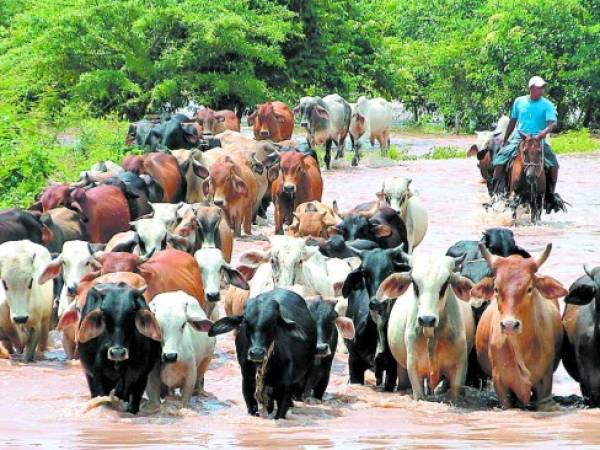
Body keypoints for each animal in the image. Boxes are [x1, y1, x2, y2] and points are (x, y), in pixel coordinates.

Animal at [77, 284, 162, 414]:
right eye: (104, 312)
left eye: (132, 312)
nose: (117, 353)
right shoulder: (98, 375)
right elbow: (102, 398)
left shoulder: (141, 376)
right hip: (88, 374)